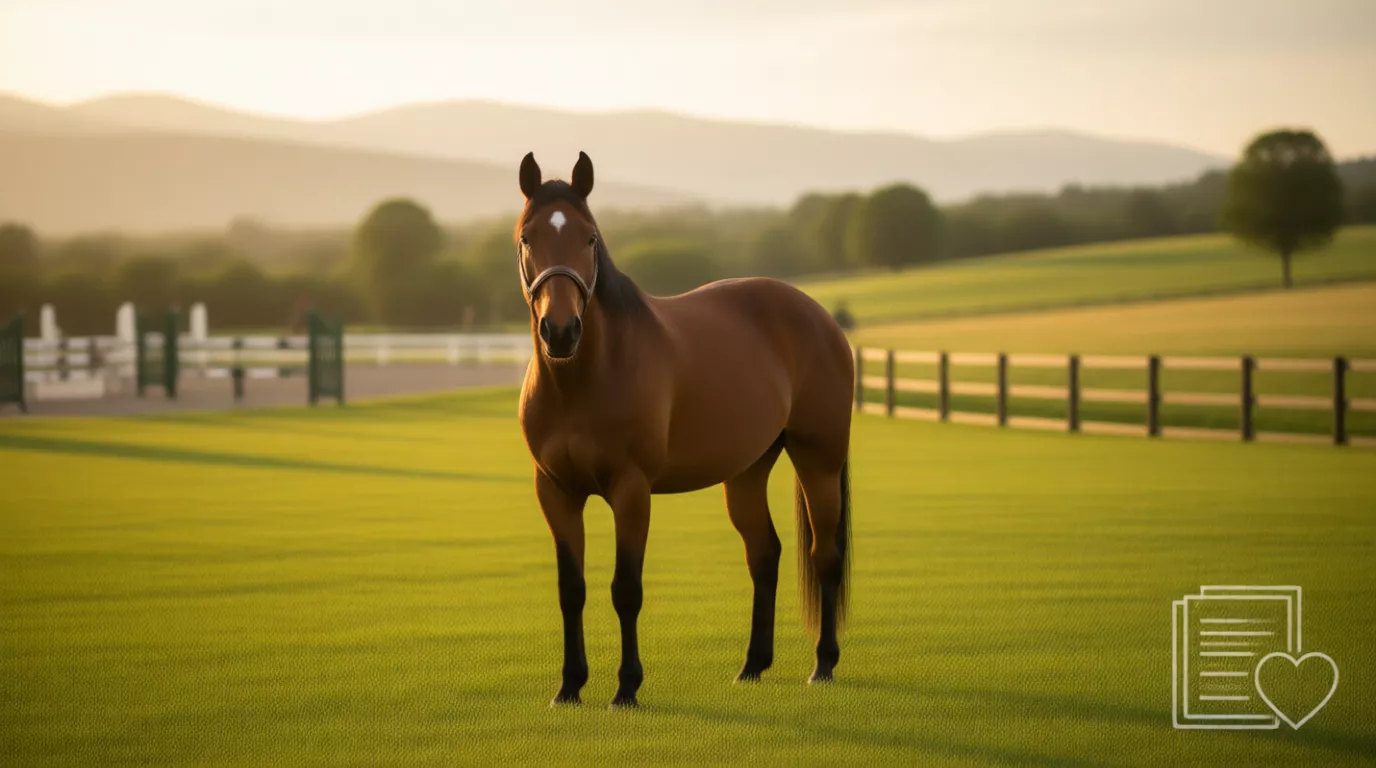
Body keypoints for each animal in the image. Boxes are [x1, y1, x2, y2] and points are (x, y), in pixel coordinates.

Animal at [515, 151, 854, 709]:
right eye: (527, 237)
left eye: (590, 238)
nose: (560, 331)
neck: (583, 378)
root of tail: (820, 317)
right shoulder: (556, 491)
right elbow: (572, 590)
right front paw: (568, 687)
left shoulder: (631, 491)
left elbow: (625, 589)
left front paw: (626, 688)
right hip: (747, 471)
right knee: (764, 554)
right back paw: (752, 666)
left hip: (818, 461)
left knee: (823, 554)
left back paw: (823, 665)